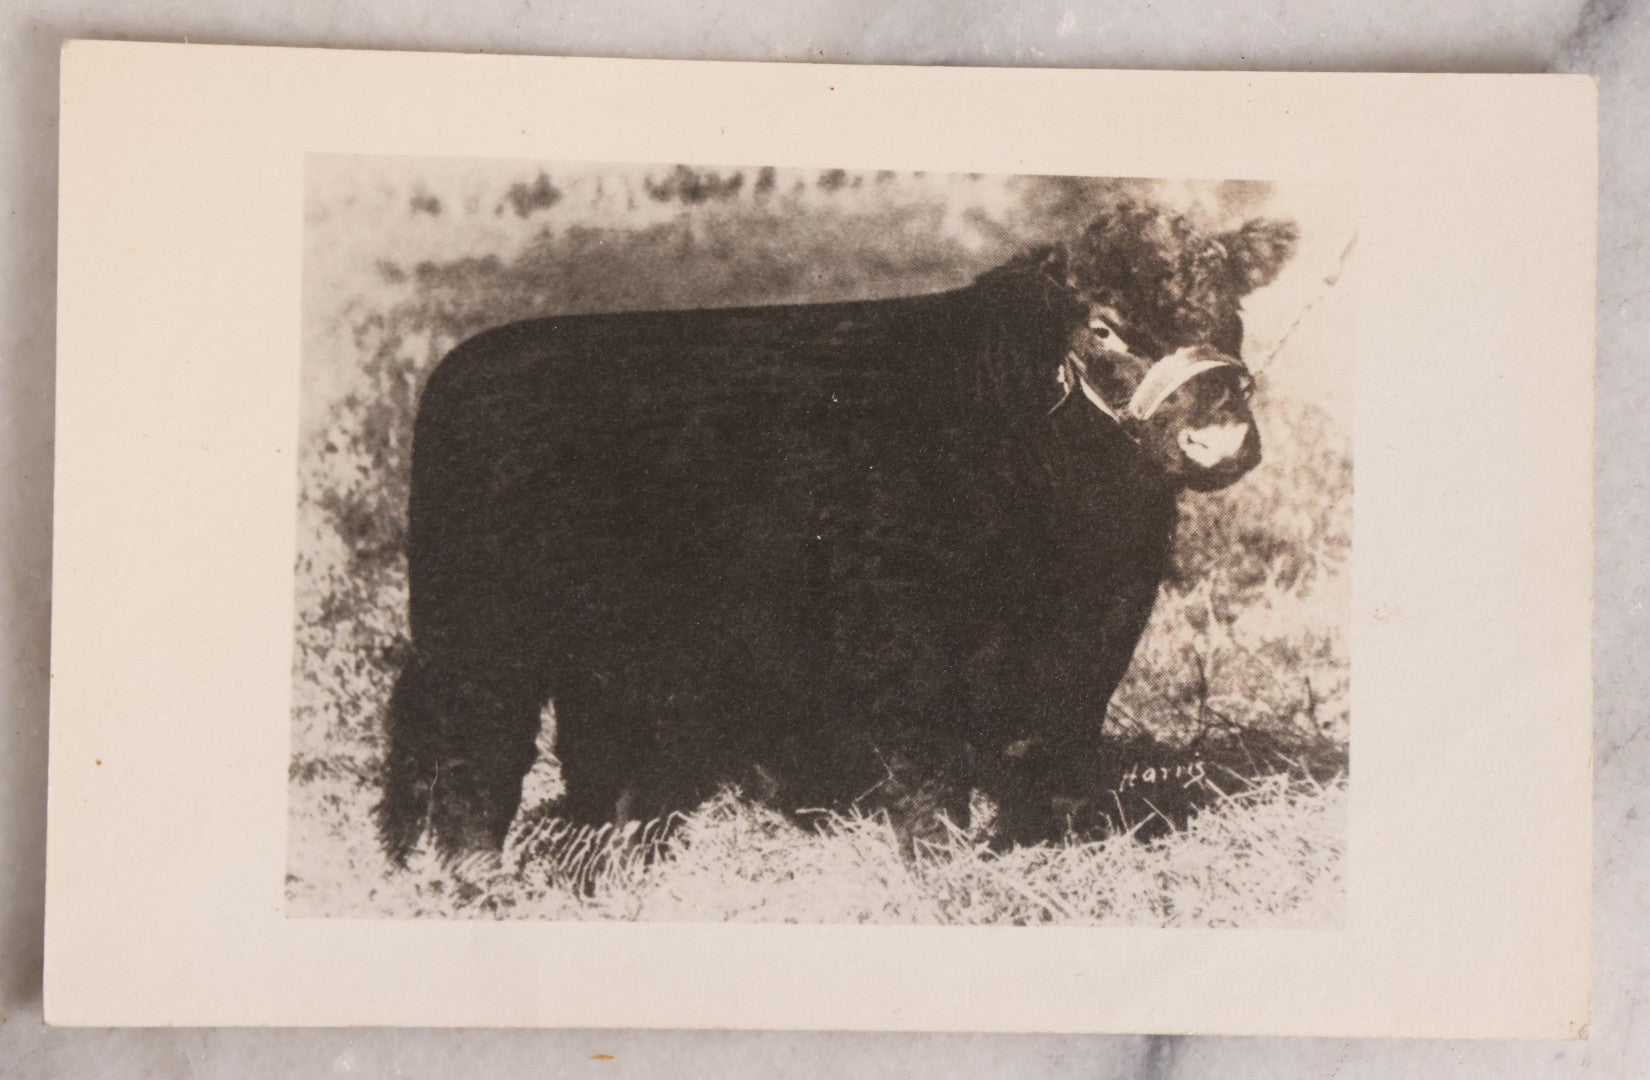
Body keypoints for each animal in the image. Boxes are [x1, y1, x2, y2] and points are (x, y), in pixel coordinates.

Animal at [376, 201, 1298, 865]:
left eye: (1229, 313)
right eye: (1101, 324)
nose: (1217, 437)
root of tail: (463, 365)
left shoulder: (1102, 616)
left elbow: (1057, 733)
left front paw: (1063, 845)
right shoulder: (900, 618)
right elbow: (927, 754)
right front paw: (944, 863)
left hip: (599, 640)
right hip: (486, 633)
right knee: (475, 747)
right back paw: (474, 875)